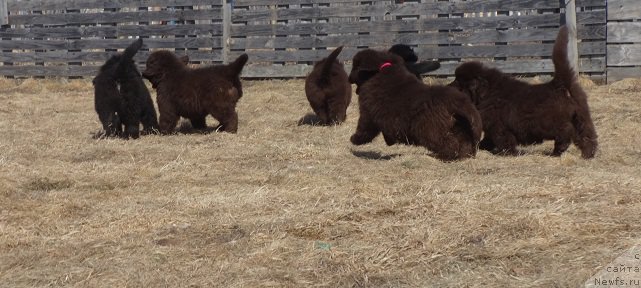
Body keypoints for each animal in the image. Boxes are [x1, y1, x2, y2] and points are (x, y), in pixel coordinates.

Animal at [350, 48, 480, 161]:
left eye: (355, 67)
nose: (348, 78)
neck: (380, 72)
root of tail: (456, 101)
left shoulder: (367, 113)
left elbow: (364, 128)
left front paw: (355, 139)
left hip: (430, 129)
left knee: (448, 143)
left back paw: (444, 156)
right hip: (458, 126)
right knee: (464, 142)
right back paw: (464, 155)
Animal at [448, 25, 596, 159]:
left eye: (459, 83)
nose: (448, 87)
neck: (487, 94)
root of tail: (558, 84)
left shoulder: (499, 127)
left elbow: (504, 140)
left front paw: (509, 153)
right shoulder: (492, 128)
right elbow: (488, 140)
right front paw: (484, 147)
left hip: (550, 123)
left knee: (566, 131)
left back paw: (558, 150)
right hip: (581, 117)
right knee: (587, 136)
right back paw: (588, 154)